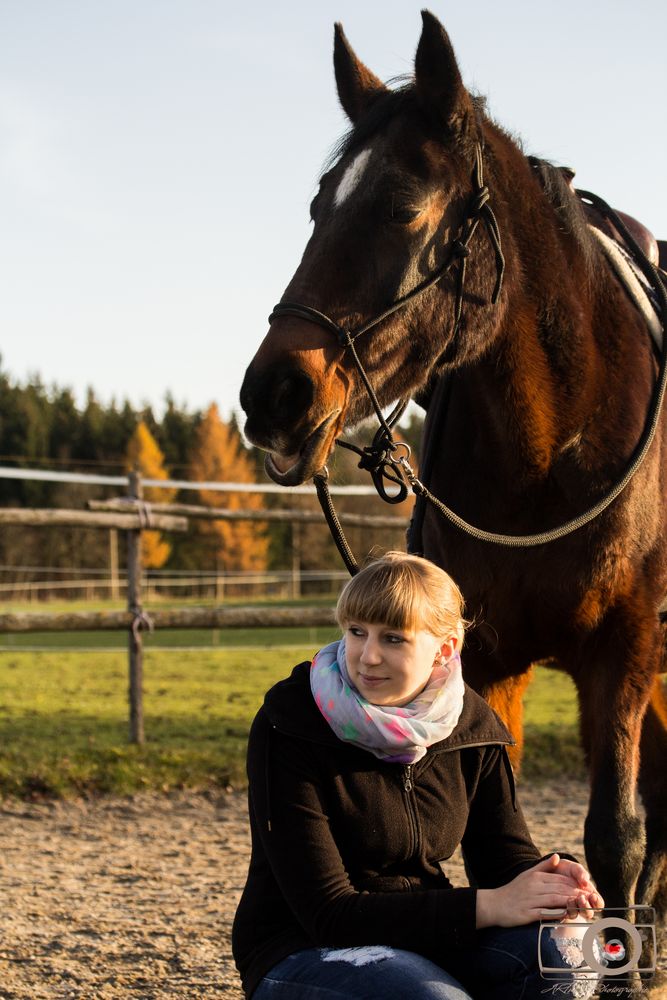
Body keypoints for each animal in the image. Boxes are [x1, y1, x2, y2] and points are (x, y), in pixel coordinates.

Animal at [240, 11, 667, 924]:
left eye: (403, 207)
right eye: (317, 205)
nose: (274, 395)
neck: (552, 454)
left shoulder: (622, 651)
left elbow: (615, 839)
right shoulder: (490, 657)